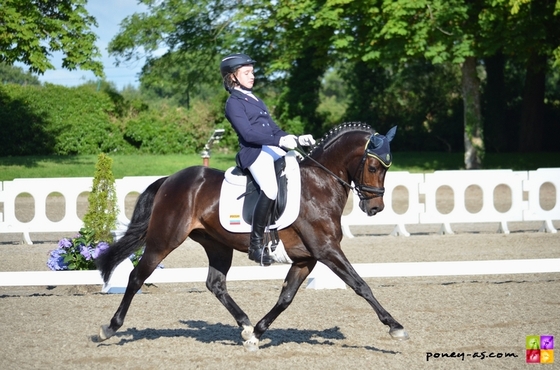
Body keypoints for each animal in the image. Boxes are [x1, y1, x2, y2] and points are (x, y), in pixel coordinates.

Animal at [96, 123, 410, 350]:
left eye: (387, 168)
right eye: (373, 167)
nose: (375, 208)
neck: (319, 185)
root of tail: (170, 180)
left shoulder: (306, 259)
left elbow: (285, 298)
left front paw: (256, 334)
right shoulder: (326, 250)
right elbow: (360, 285)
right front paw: (395, 326)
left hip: (217, 244)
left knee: (216, 284)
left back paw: (245, 325)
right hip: (164, 240)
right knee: (136, 276)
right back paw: (109, 328)